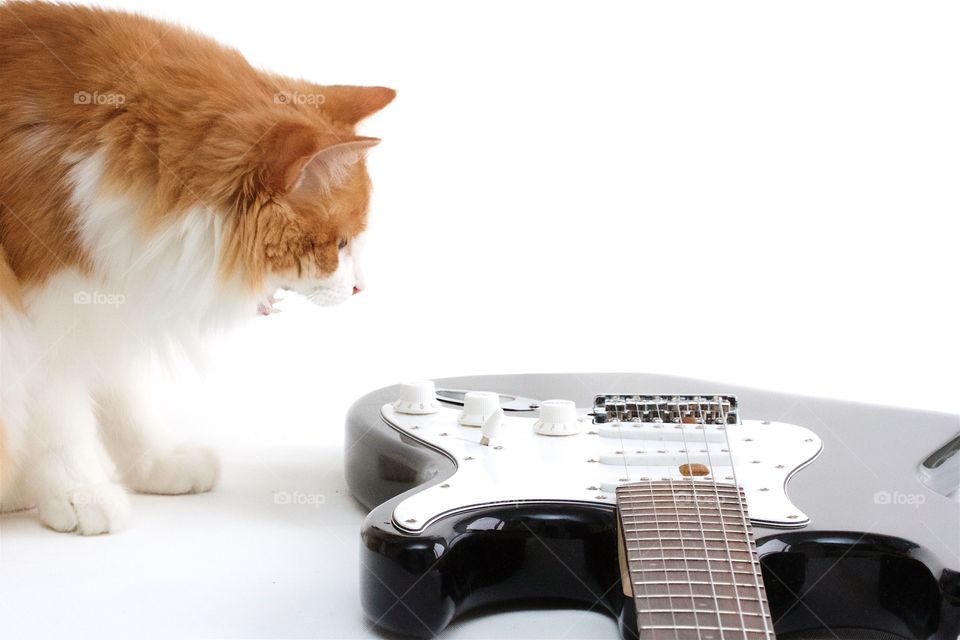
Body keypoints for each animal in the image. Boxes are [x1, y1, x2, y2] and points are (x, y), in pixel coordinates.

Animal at [0, 1, 394, 536]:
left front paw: (156, 463)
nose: (360, 288)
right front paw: (77, 491)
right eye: (340, 243)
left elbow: (125, 398)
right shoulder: (37, 311)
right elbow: (59, 415)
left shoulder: (106, 291)